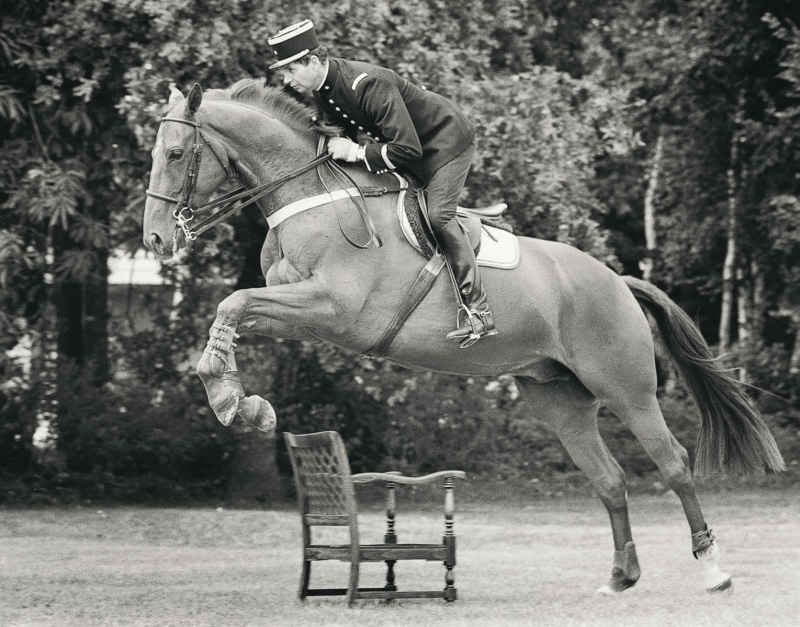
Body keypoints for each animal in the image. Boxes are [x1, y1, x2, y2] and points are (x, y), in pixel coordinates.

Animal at [143, 79, 785, 595]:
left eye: (175, 153)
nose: (154, 241)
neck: (313, 199)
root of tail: (618, 282)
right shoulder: (295, 307)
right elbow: (231, 313)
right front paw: (238, 402)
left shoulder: (336, 309)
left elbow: (232, 302)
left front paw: (233, 401)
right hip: (560, 400)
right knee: (609, 479)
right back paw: (620, 577)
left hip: (627, 390)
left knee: (673, 464)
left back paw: (713, 570)